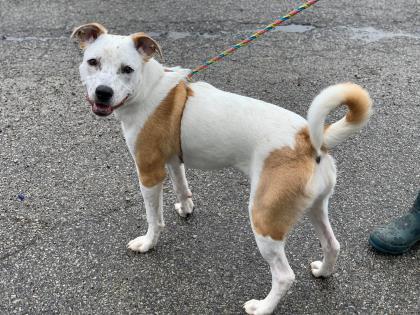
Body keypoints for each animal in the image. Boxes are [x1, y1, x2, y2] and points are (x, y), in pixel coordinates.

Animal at [71, 23, 370, 314]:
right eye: (93, 62)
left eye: (127, 69)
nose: (103, 92)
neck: (148, 88)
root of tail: (307, 138)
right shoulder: (173, 160)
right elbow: (181, 186)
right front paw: (186, 208)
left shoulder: (149, 172)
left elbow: (154, 219)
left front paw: (147, 243)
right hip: (314, 207)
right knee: (332, 244)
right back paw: (323, 271)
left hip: (264, 219)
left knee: (285, 276)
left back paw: (262, 307)